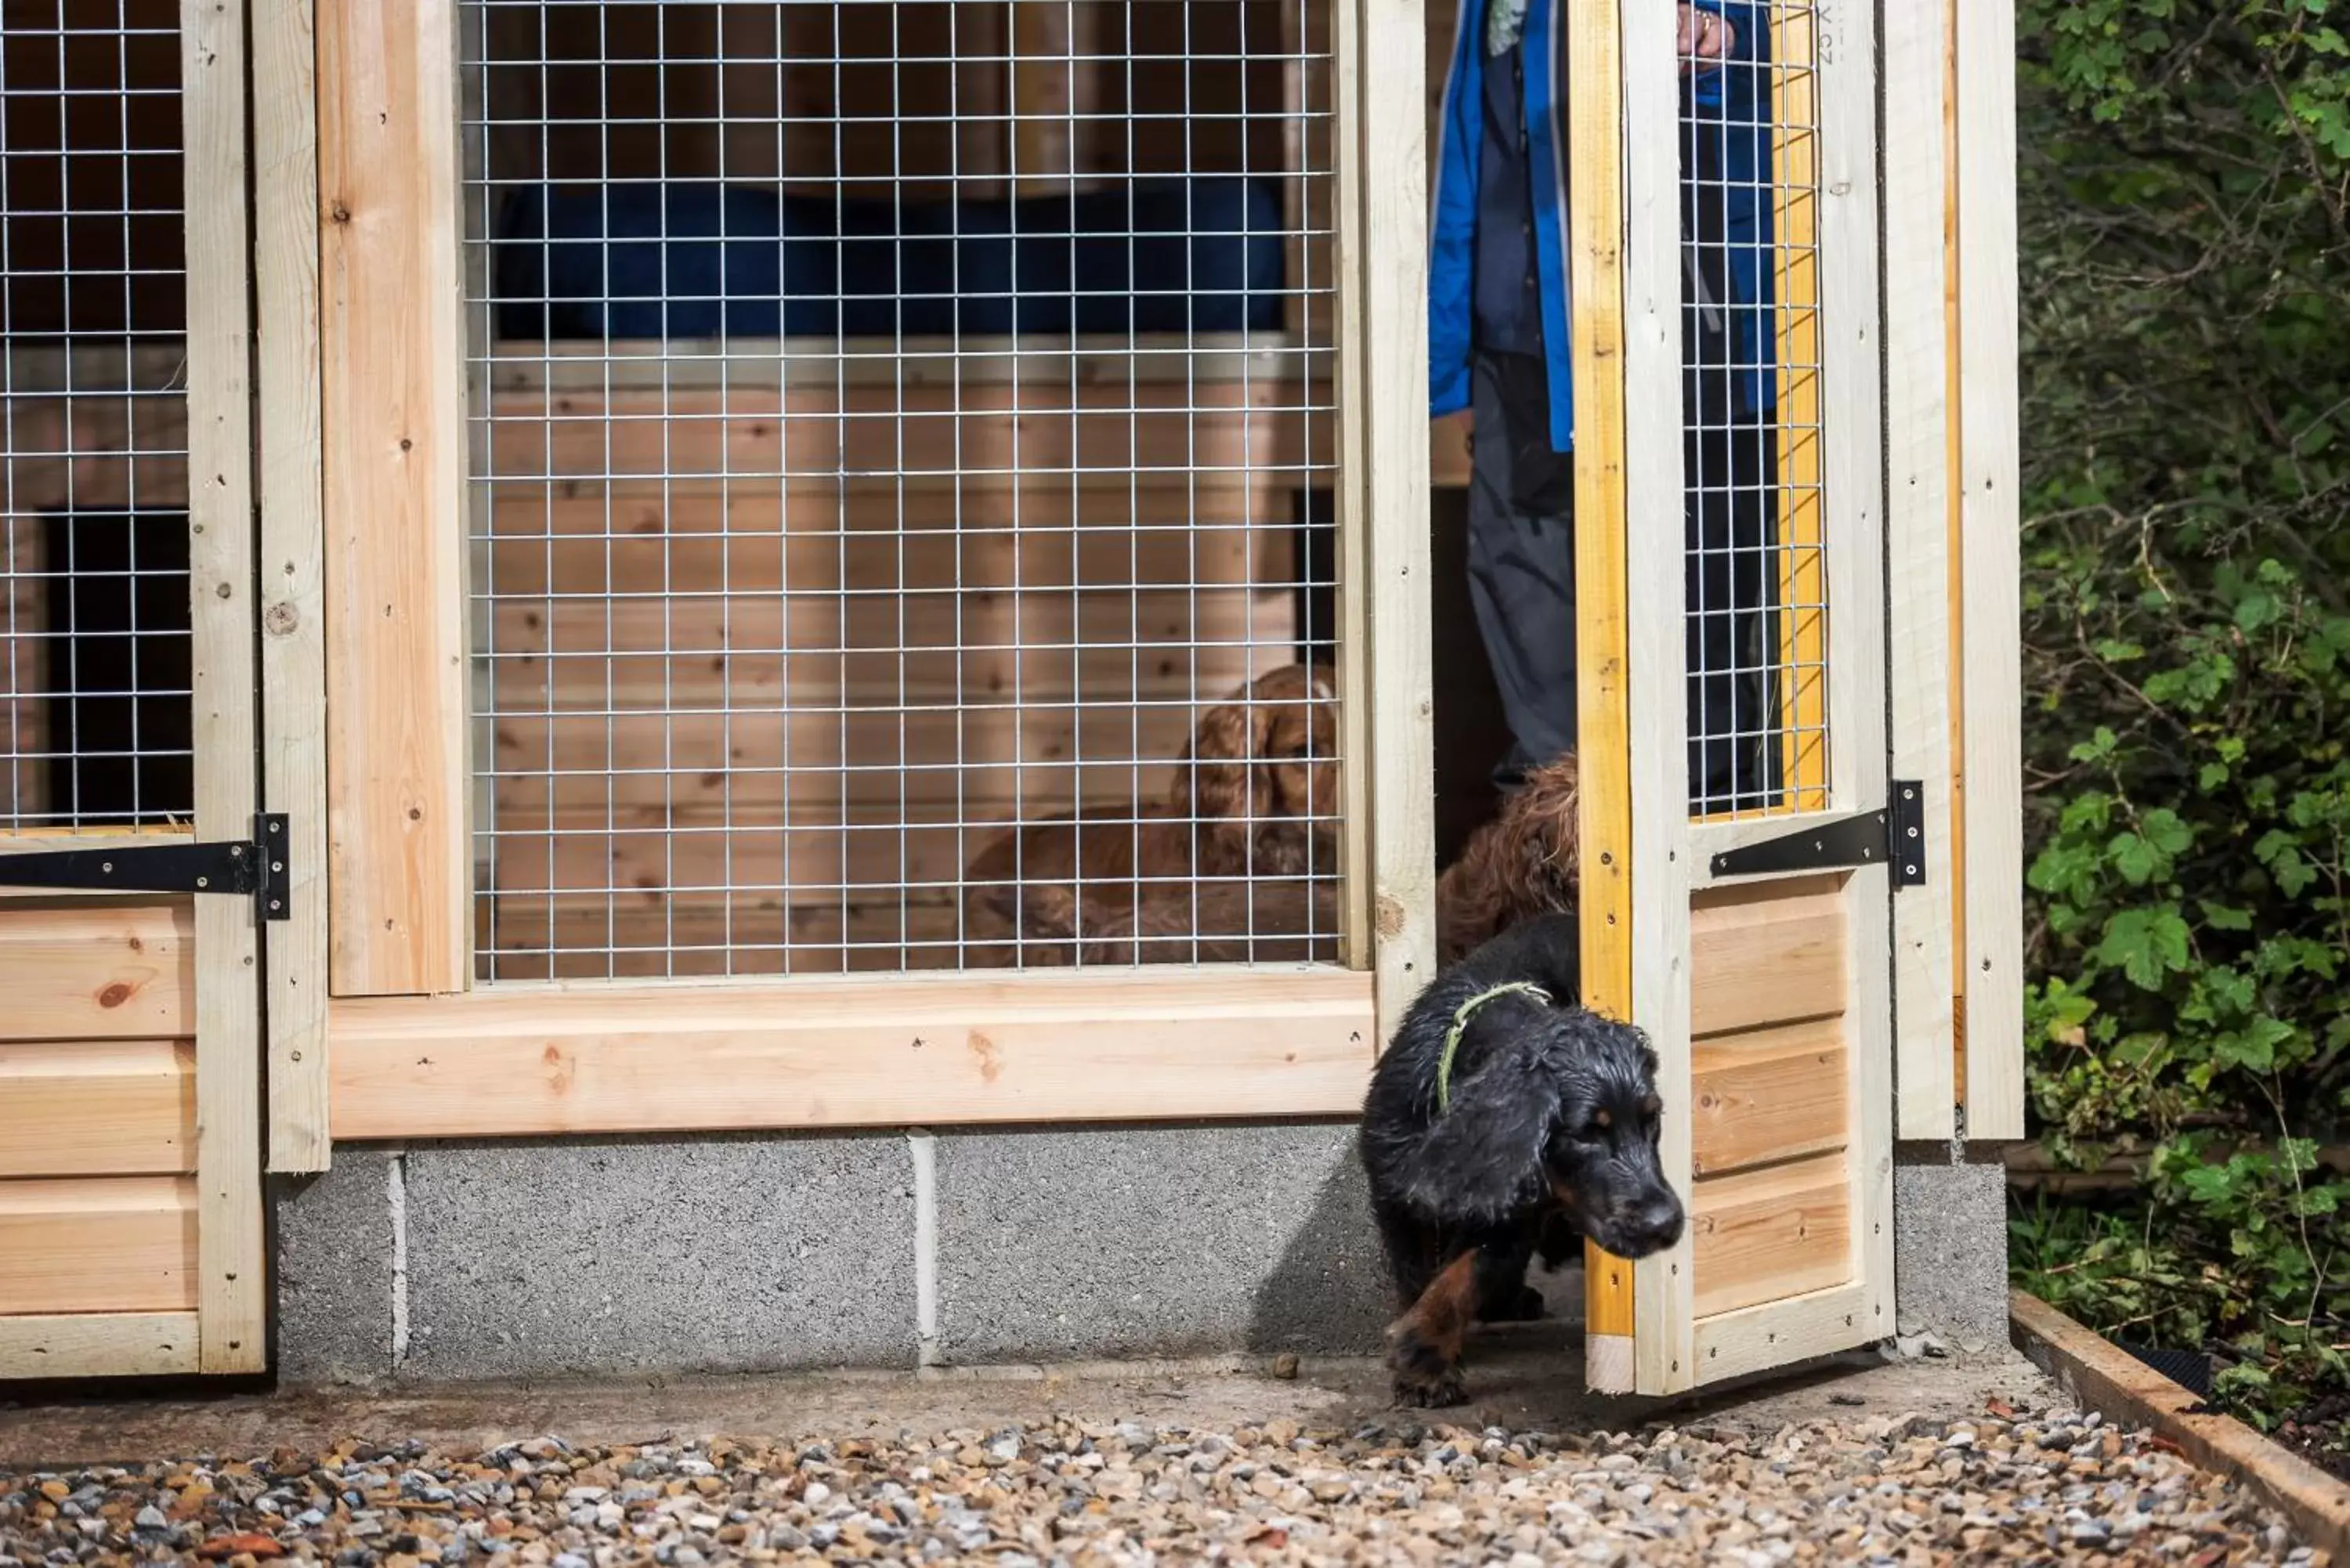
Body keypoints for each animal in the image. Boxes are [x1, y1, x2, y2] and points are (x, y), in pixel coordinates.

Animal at [1363, 912, 1692, 1400]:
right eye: (1586, 1134)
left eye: (1651, 1120)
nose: (1663, 1224)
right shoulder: (1395, 1188)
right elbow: (1416, 1272)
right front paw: (1424, 1364)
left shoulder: (1516, 1214)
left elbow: (1470, 1271)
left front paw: (1424, 1351)